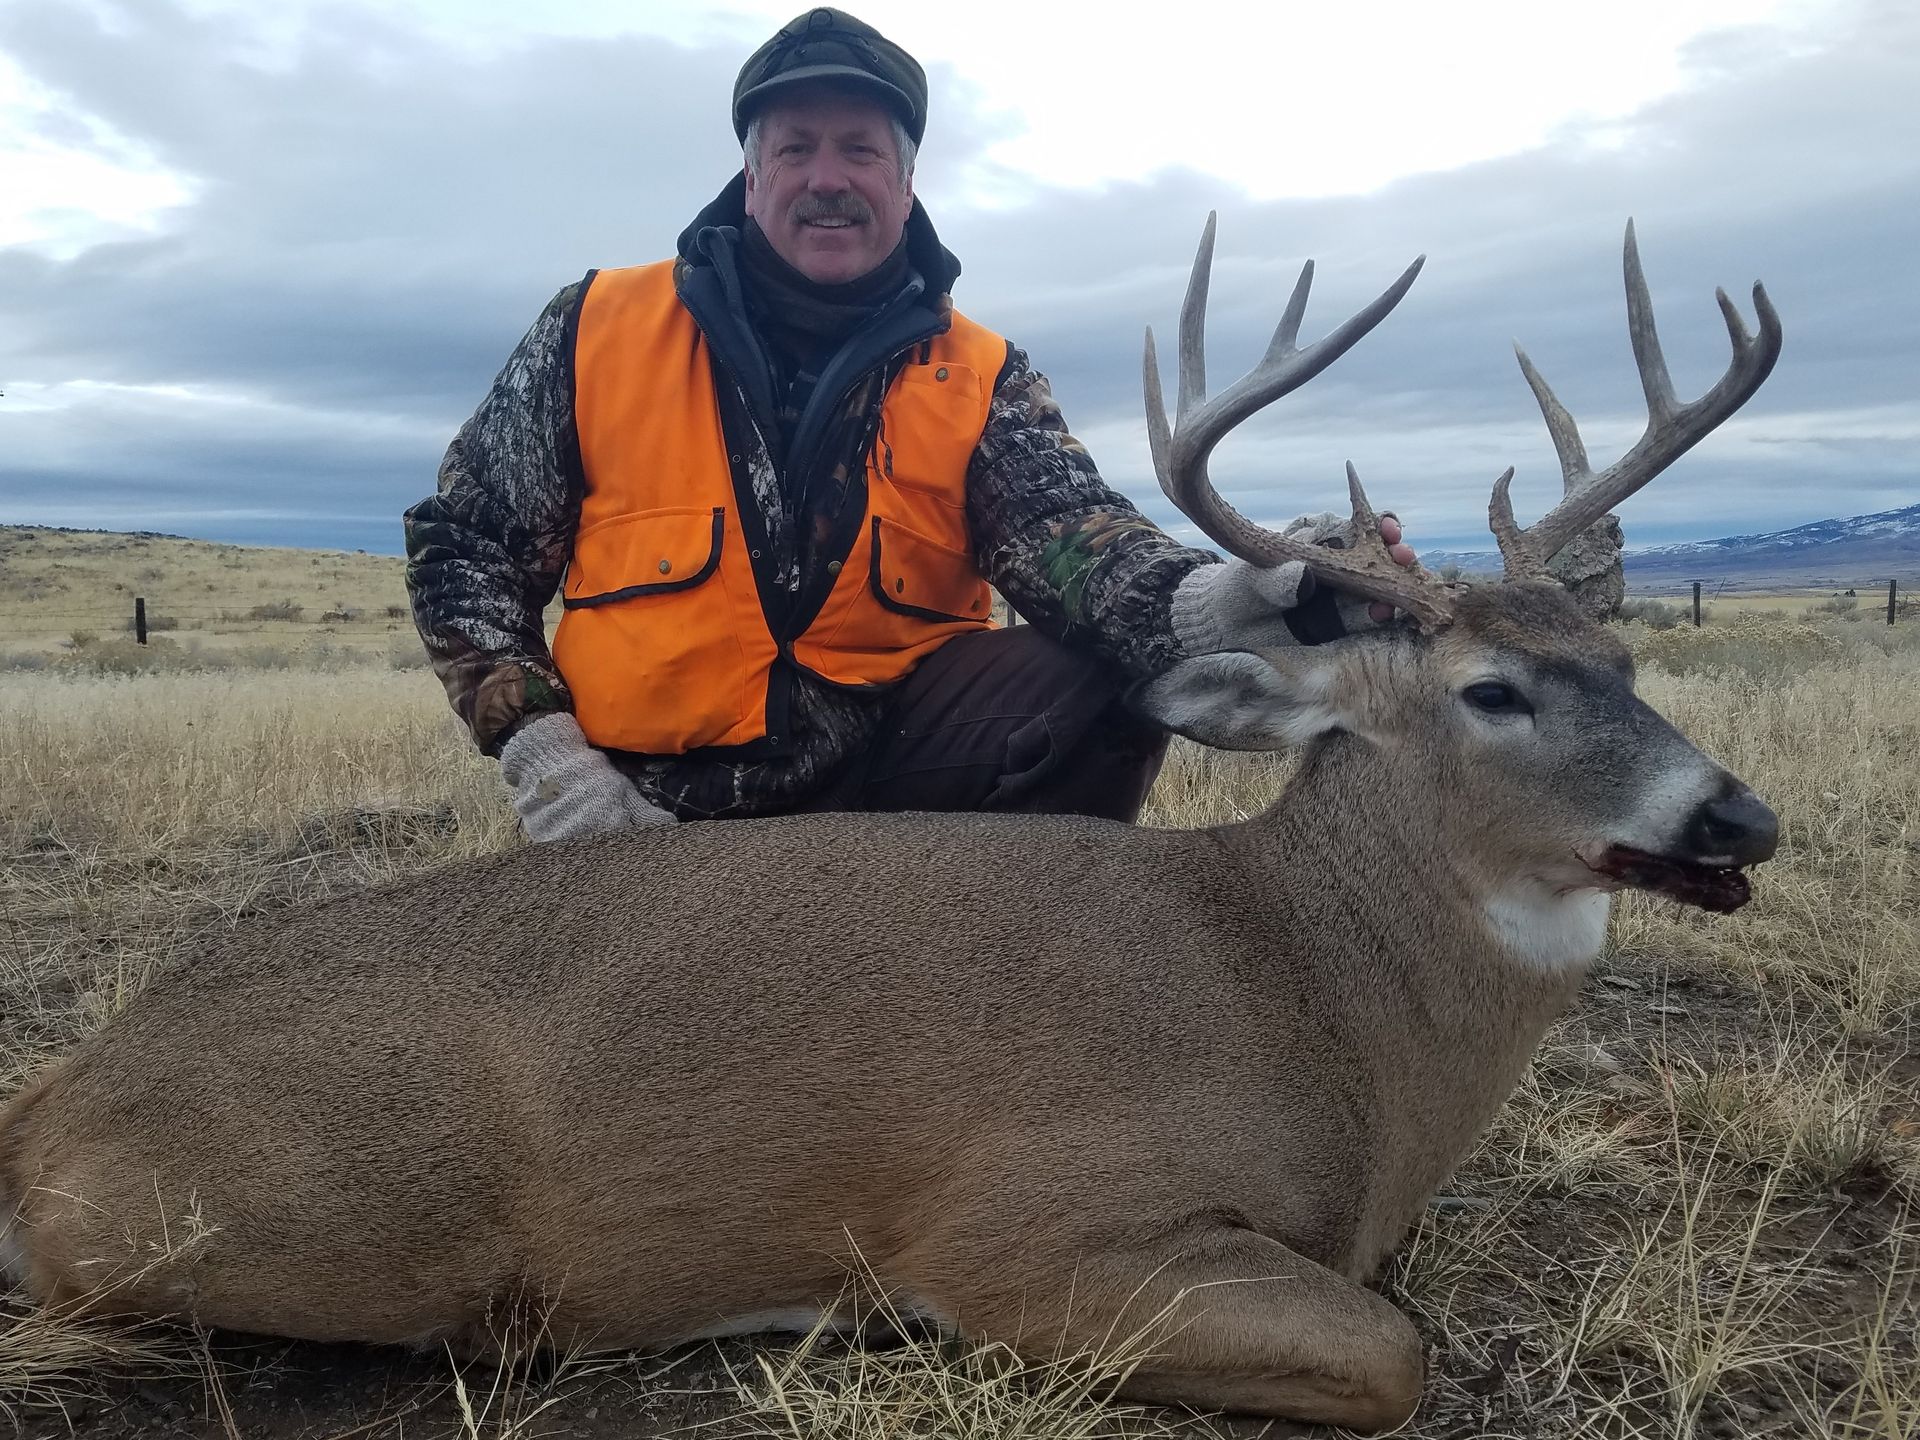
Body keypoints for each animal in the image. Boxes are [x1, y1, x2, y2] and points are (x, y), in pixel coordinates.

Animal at [0, 218, 1781, 1433]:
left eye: (1629, 662)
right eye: (1493, 691)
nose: (1739, 816)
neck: (1315, 997)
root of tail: (53, 1105)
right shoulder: (1039, 1225)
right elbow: (1395, 1356)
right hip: (336, 1212)